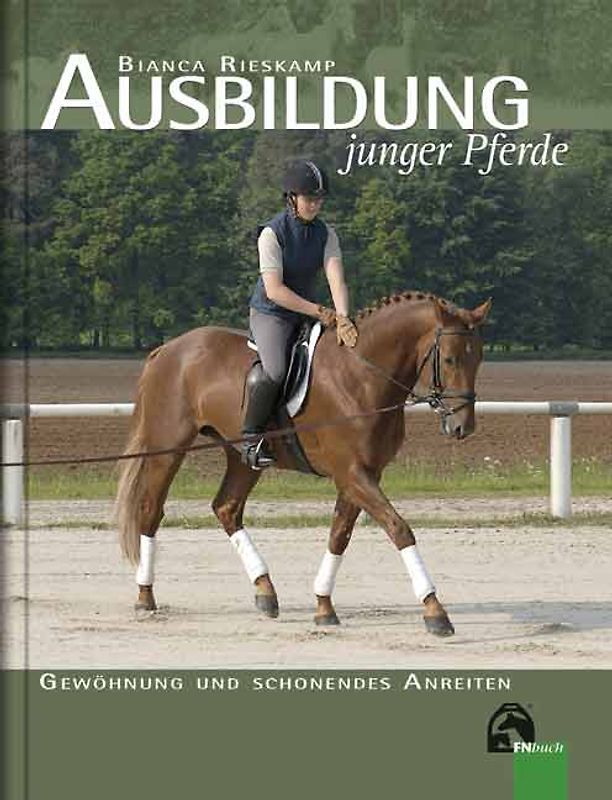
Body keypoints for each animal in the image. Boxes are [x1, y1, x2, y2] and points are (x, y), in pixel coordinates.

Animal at [115, 291, 491, 636]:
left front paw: (324, 606)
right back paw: (145, 597)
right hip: (167, 448)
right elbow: (399, 529)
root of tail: (167, 349)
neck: (361, 377)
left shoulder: (362, 474)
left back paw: (265, 591)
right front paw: (435, 611)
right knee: (150, 511)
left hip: (242, 457)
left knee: (226, 508)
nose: (463, 426)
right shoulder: (353, 474)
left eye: (479, 358)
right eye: (450, 359)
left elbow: (339, 535)